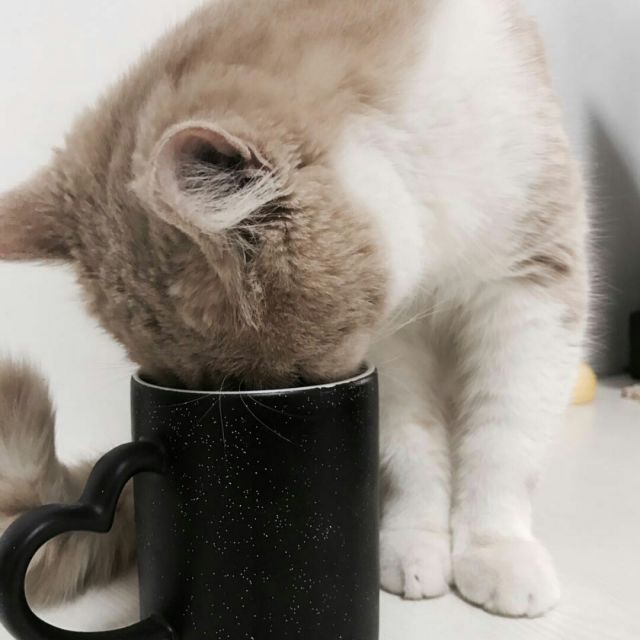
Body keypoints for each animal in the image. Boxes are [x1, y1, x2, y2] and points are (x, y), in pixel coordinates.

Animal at [0, 0, 589, 618]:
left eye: (295, 377)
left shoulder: (530, 288)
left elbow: (504, 437)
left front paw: (496, 550)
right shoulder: (392, 344)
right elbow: (409, 448)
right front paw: (412, 540)